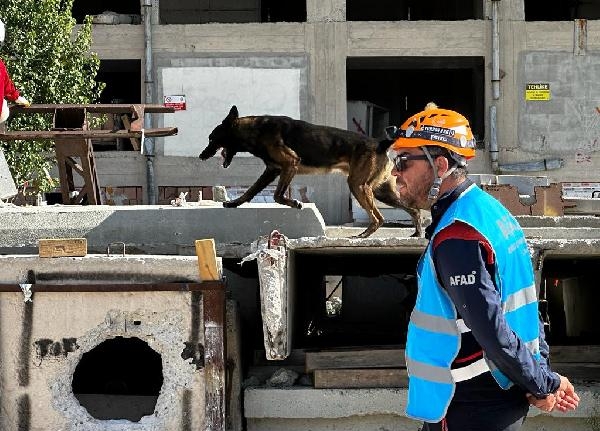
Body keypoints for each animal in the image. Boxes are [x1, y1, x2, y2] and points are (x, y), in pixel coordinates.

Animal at [200, 106, 422, 238]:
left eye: (212, 139)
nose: (201, 156)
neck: (255, 130)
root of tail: (380, 144)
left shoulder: (290, 163)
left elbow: (277, 195)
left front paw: (296, 203)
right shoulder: (272, 170)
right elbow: (250, 191)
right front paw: (233, 203)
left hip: (358, 186)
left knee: (379, 218)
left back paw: (363, 236)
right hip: (381, 192)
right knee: (412, 210)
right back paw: (417, 233)